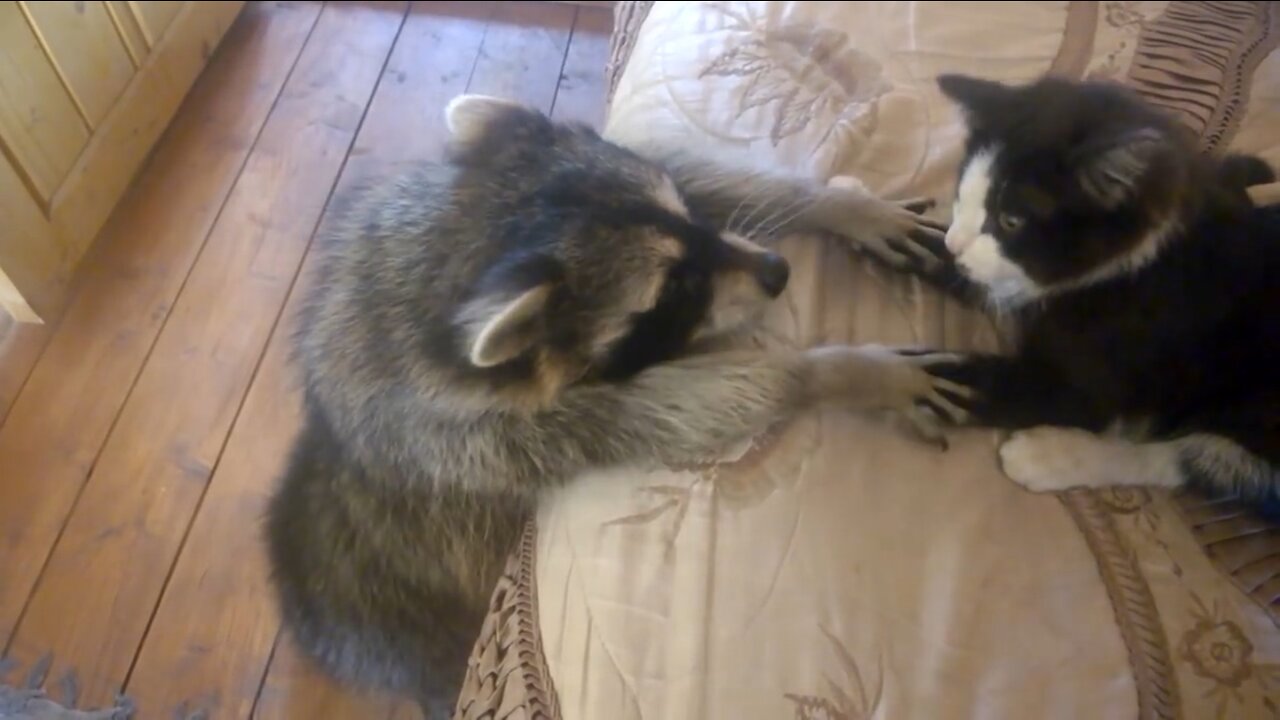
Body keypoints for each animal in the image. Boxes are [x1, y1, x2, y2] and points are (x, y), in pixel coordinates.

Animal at [264, 94, 962, 712]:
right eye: (674, 291)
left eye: (683, 212)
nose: (778, 271)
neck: (448, 255)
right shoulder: (484, 434)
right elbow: (680, 410)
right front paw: (841, 371)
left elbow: (684, 160)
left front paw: (835, 202)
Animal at [896, 73, 1280, 509]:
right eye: (963, 190)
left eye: (1011, 220)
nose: (955, 243)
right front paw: (888, 226)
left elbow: (1052, 395)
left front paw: (885, 372)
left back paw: (1052, 456)